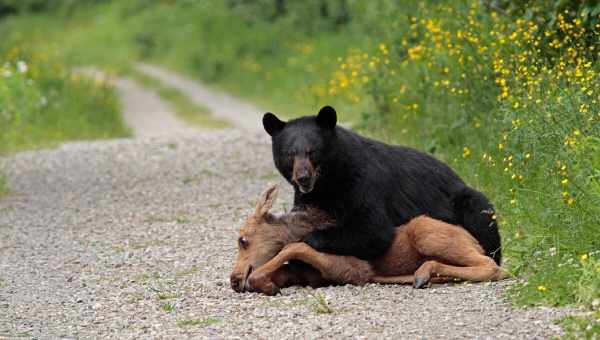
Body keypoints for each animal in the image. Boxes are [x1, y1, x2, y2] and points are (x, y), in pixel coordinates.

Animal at [262, 106, 502, 262]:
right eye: (289, 153)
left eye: (313, 151)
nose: (303, 177)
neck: (331, 181)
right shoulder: (307, 197)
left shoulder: (362, 185)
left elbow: (373, 229)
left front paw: (304, 238)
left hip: (462, 198)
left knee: (481, 217)